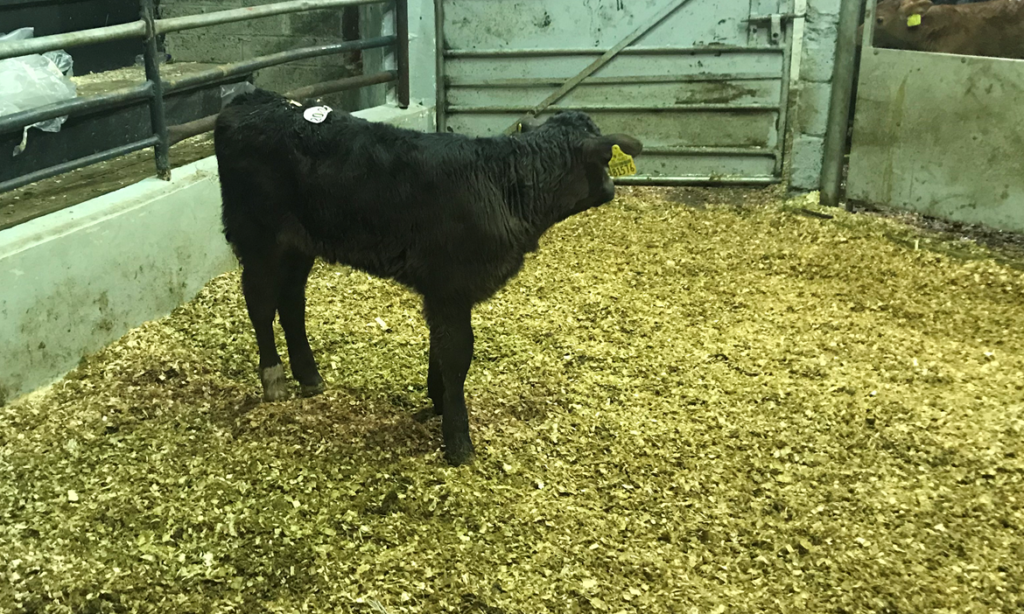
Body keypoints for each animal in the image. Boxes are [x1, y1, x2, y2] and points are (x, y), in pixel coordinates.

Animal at [213, 88, 642, 466]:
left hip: (300, 243)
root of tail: (252, 98)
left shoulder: (442, 292)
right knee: (259, 302)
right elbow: (456, 355)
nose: (611, 188)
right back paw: (274, 379)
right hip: (258, 235)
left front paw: (437, 402)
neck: (503, 184)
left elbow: (441, 349)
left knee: (291, 303)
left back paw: (309, 375)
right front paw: (458, 441)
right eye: (606, 160)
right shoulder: (450, 286)